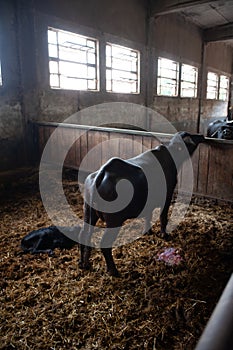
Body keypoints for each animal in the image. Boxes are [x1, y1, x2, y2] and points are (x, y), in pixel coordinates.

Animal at [79, 131, 205, 276]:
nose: (201, 135)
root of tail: (101, 173)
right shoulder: (167, 196)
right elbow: (163, 216)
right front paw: (164, 234)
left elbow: (148, 215)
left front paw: (148, 231)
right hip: (114, 220)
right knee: (105, 243)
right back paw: (113, 270)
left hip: (88, 212)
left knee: (83, 235)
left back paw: (84, 263)